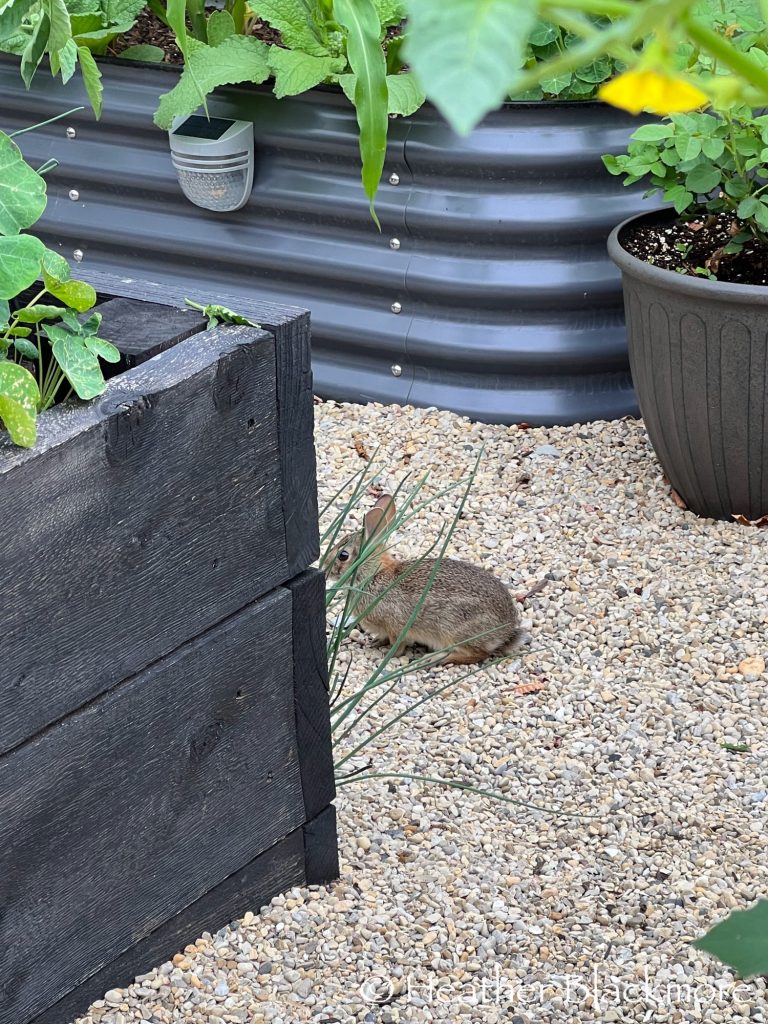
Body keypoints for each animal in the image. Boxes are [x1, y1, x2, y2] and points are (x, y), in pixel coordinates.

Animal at [324, 494, 529, 665]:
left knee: (477, 653)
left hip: (454, 630)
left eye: (343, 555)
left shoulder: (396, 627)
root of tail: (505, 631)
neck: (372, 575)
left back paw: (436, 658)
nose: (325, 569)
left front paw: (388, 655)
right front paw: (376, 642)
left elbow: (398, 646)